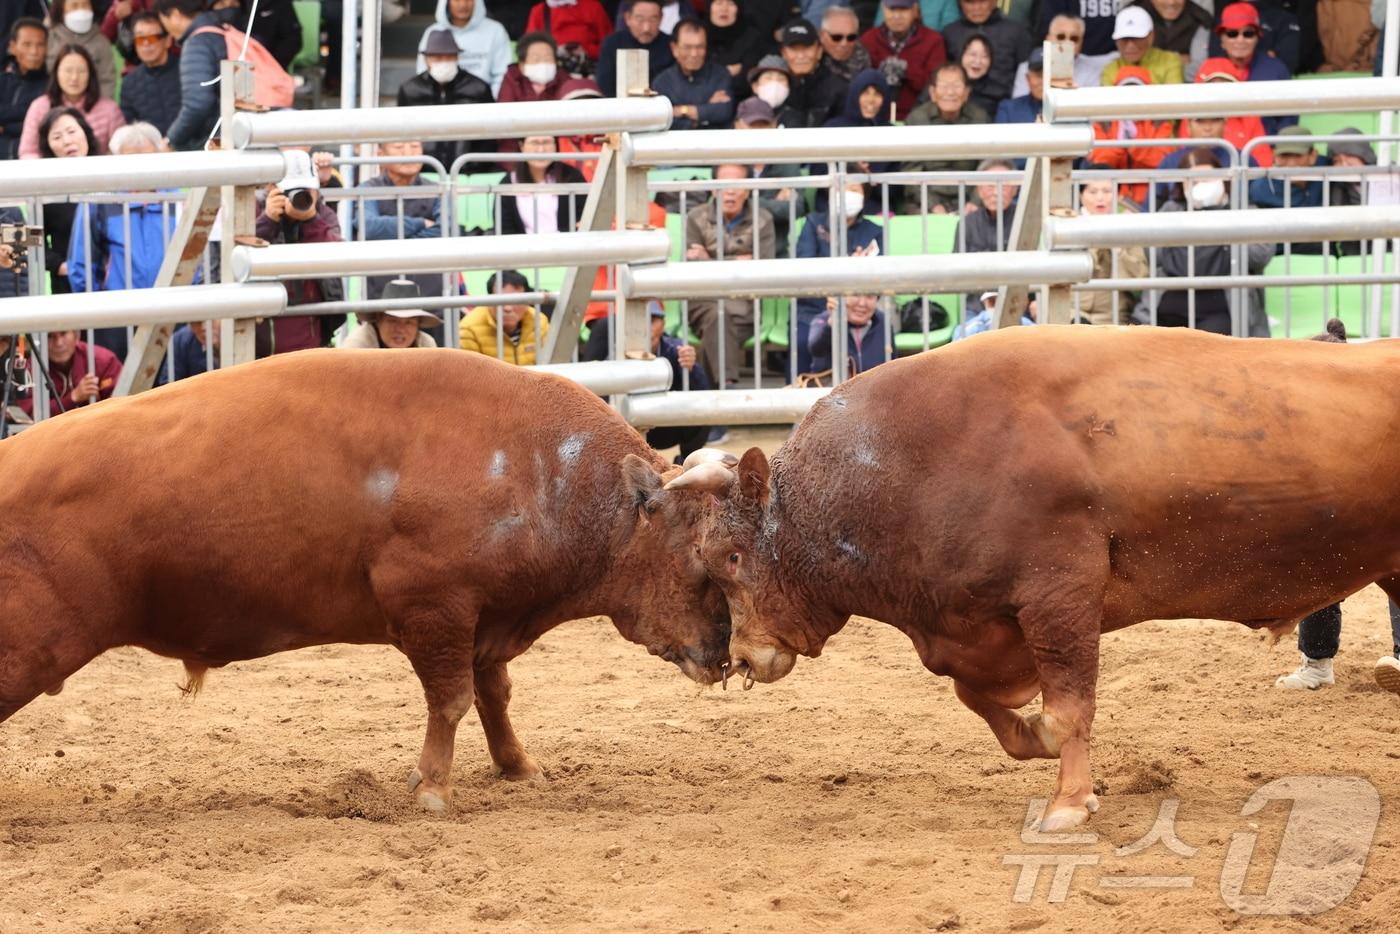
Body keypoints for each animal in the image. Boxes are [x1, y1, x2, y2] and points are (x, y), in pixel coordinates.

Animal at [2, 350, 733, 812]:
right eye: (704, 565)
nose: (724, 656)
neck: (537, 469)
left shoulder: (482, 623)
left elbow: (493, 698)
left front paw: (517, 767)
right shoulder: (434, 610)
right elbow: (451, 701)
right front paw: (432, 787)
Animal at [663, 327, 1400, 834]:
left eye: (731, 556)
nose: (741, 658)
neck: (908, 463)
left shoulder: (1061, 598)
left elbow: (1069, 704)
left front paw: (1069, 803)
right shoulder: (977, 624)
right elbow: (981, 699)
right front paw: (1039, 745)